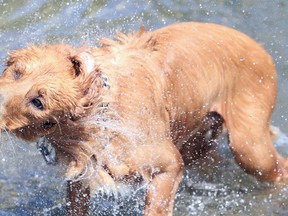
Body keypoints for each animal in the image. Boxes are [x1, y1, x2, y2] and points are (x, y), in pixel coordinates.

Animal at [0, 22, 288, 215]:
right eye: (16, 72)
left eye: (38, 101)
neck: (102, 117)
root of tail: (257, 46)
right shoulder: (82, 172)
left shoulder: (167, 163)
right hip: (196, 136)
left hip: (249, 145)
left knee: (276, 167)